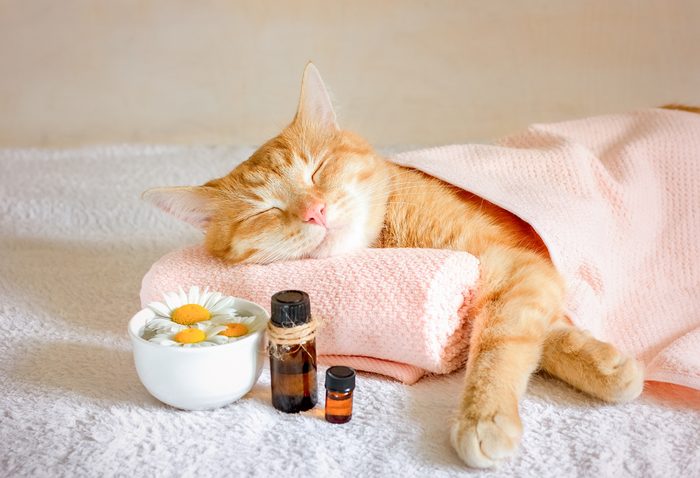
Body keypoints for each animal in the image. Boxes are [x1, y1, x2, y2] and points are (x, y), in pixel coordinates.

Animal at [145, 63, 648, 466]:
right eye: (262, 211)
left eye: (317, 168)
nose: (315, 211)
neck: (389, 233)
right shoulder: (521, 272)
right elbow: (529, 332)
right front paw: (603, 365)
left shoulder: (515, 264)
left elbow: (501, 340)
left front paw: (485, 414)